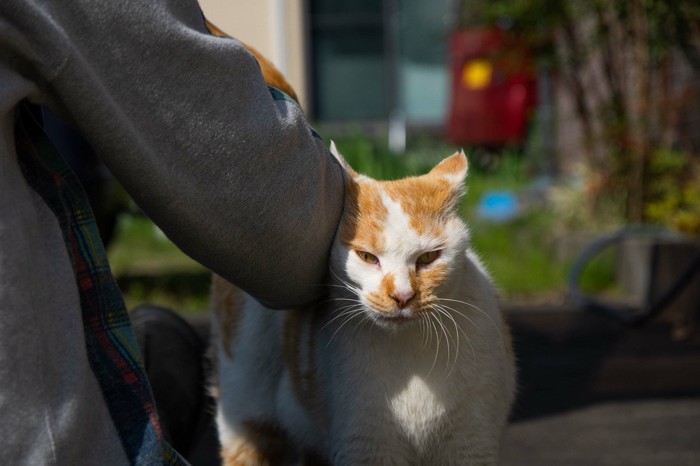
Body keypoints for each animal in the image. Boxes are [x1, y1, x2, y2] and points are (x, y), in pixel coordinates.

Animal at [211, 144, 516, 464]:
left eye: (428, 258)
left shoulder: (471, 442)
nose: (403, 295)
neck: (409, 349)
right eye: (367, 257)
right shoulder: (365, 444)